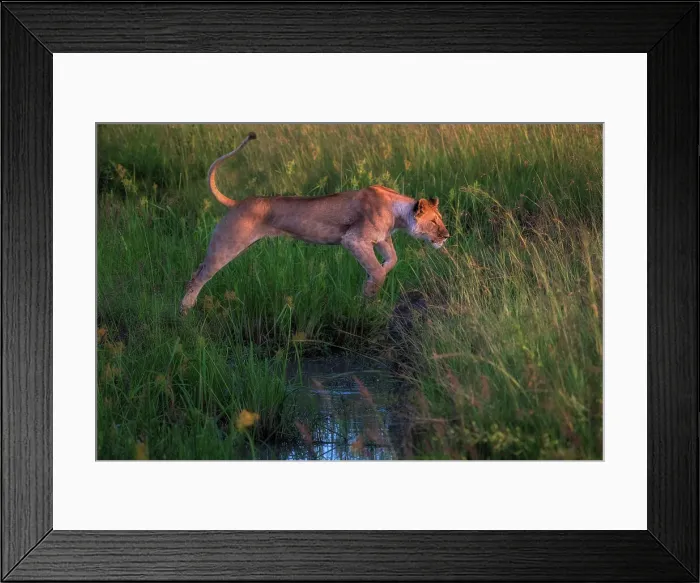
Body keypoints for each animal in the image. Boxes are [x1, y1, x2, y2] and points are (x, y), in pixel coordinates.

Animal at [180, 132, 450, 315]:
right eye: (434, 222)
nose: (447, 236)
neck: (397, 212)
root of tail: (238, 203)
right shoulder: (354, 240)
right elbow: (377, 270)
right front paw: (368, 294)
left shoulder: (382, 238)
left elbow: (391, 261)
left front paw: (373, 280)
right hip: (227, 244)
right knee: (197, 276)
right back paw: (185, 312)